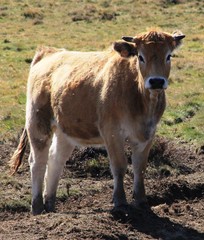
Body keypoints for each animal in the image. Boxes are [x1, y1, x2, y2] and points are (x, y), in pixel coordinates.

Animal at [9, 29, 185, 215]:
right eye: (140, 56)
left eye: (168, 56)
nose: (156, 81)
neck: (140, 99)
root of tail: (50, 52)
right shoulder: (112, 132)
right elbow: (119, 165)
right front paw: (120, 201)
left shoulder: (148, 134)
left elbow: (140, 167)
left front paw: (141, 201)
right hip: (37, 123)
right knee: (38, 162)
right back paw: (37, 207)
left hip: (65, 130)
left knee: (56, 159)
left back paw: (49, 204)